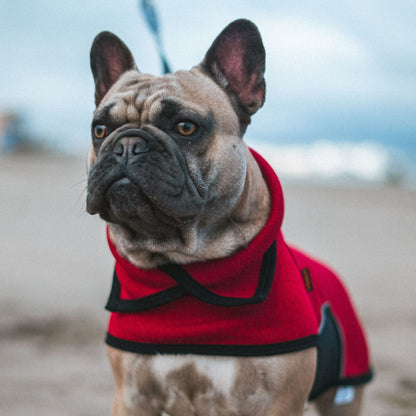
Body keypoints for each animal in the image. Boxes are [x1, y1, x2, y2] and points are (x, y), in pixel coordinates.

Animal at [86, 17, 372, 414]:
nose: (128, 145)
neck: (186, 262)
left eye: (185, 127)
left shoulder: (280, 402)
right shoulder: (131, 396)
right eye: (100, 130)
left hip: (342, 394)